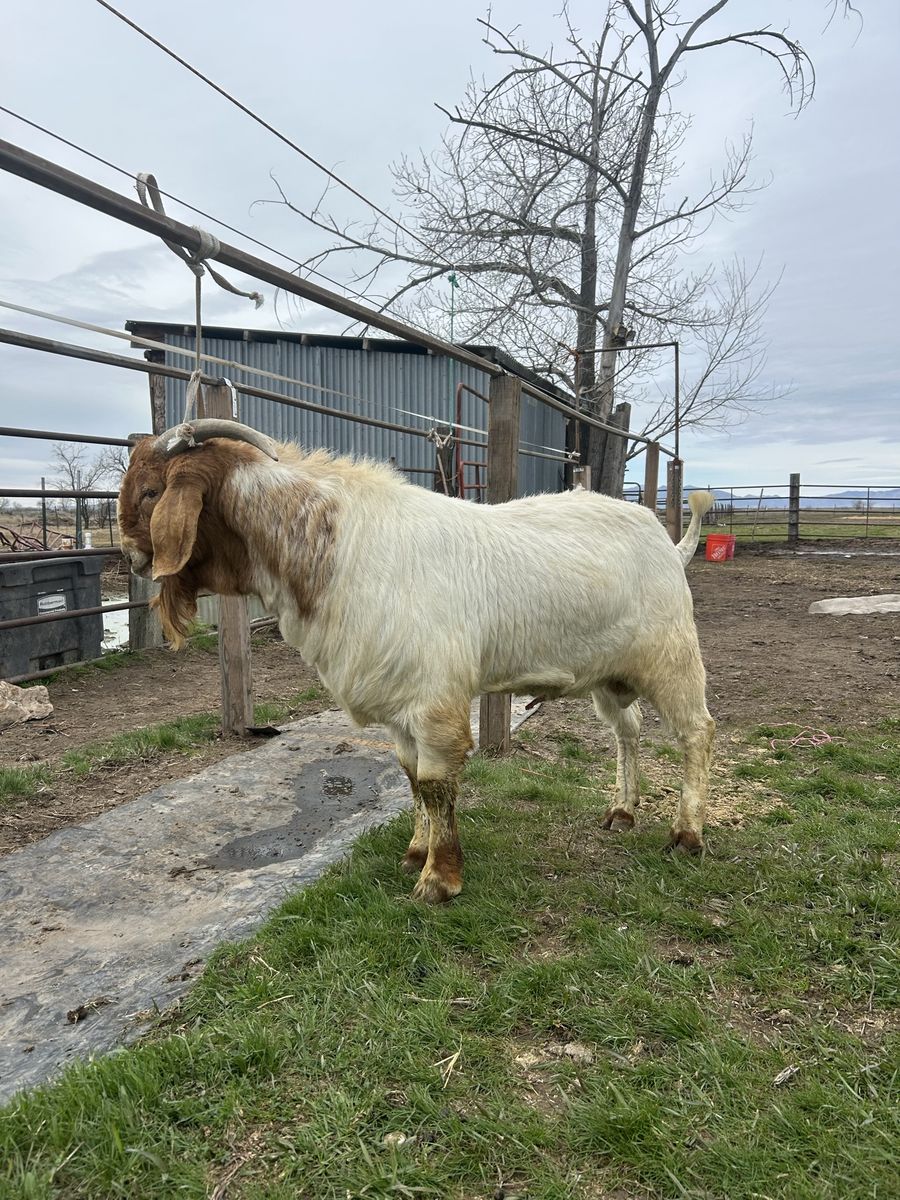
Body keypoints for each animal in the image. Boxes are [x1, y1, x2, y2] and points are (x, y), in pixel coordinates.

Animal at [119, 419, 716, 903]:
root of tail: (668, 544)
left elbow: (435, 783)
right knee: (628, 731)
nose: (130, 556)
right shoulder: (395, 699)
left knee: (696, 731)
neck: (333, 545)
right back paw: (623, 811)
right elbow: (409, 777)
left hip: (672, 655)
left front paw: (440, 879)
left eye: (151, 490)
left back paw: (687, 834)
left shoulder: (434, 699)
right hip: (610, 675)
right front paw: (415, 851)